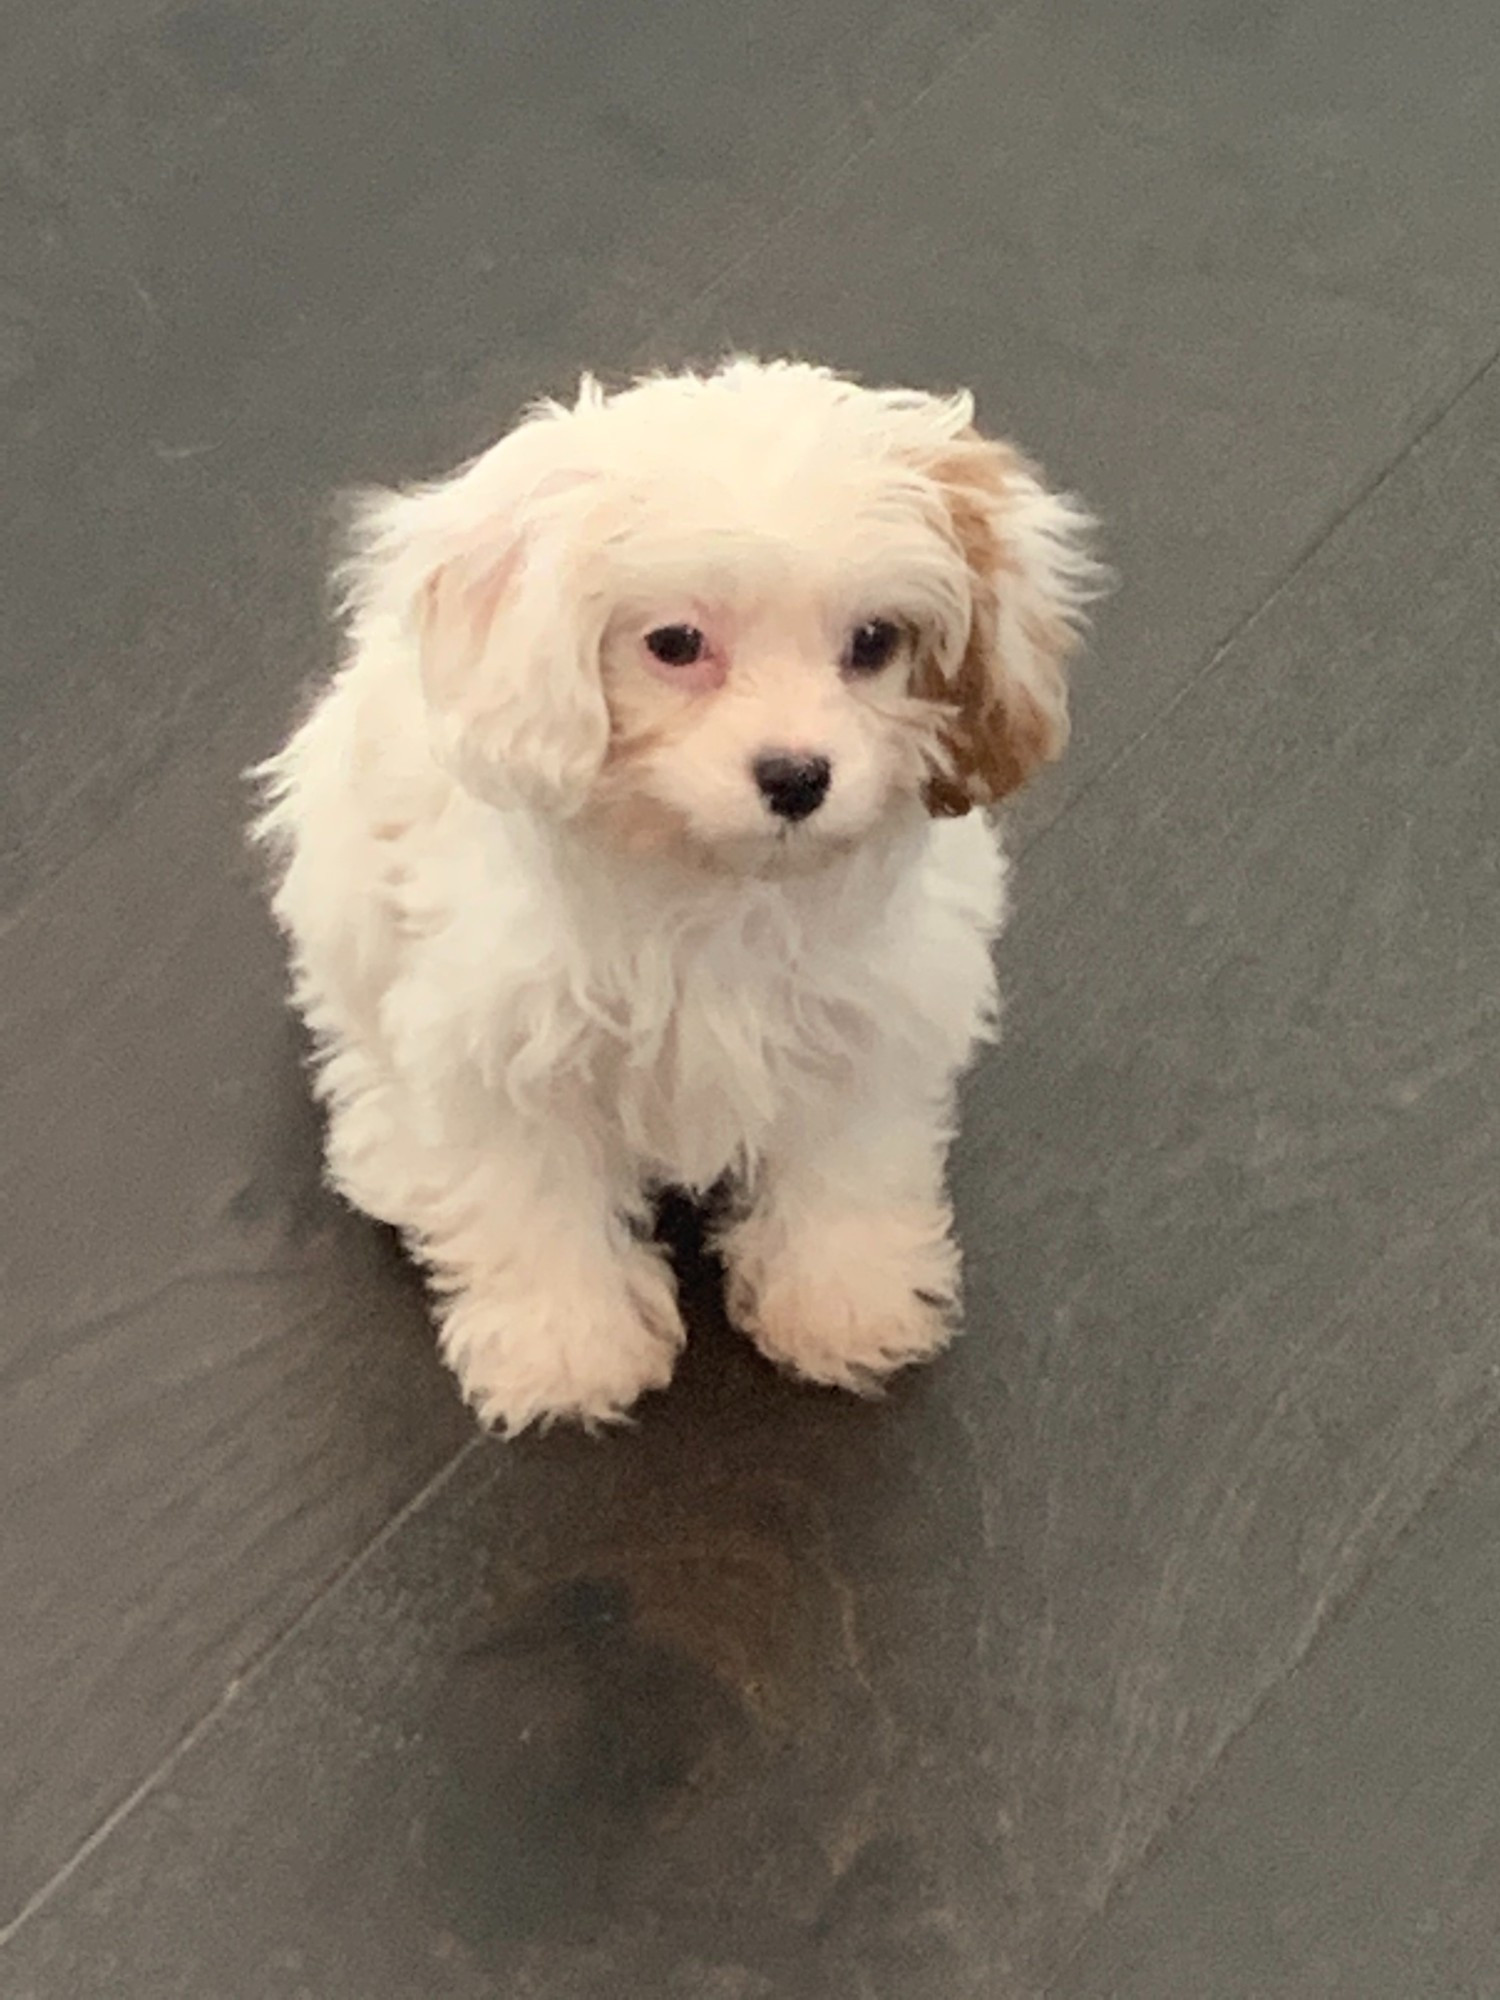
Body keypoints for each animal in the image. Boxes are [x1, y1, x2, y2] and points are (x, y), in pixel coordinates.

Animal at [256, 356, 1104, 1424]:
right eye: (674, 643)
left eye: (875, 641)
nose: (797, 776)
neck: (712, 877)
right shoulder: (500, 1038)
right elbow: (529, 1191)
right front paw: (564, 1344)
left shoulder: (871, 1014)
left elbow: (848, 1160)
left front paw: (844, 1299)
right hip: (338, 883)